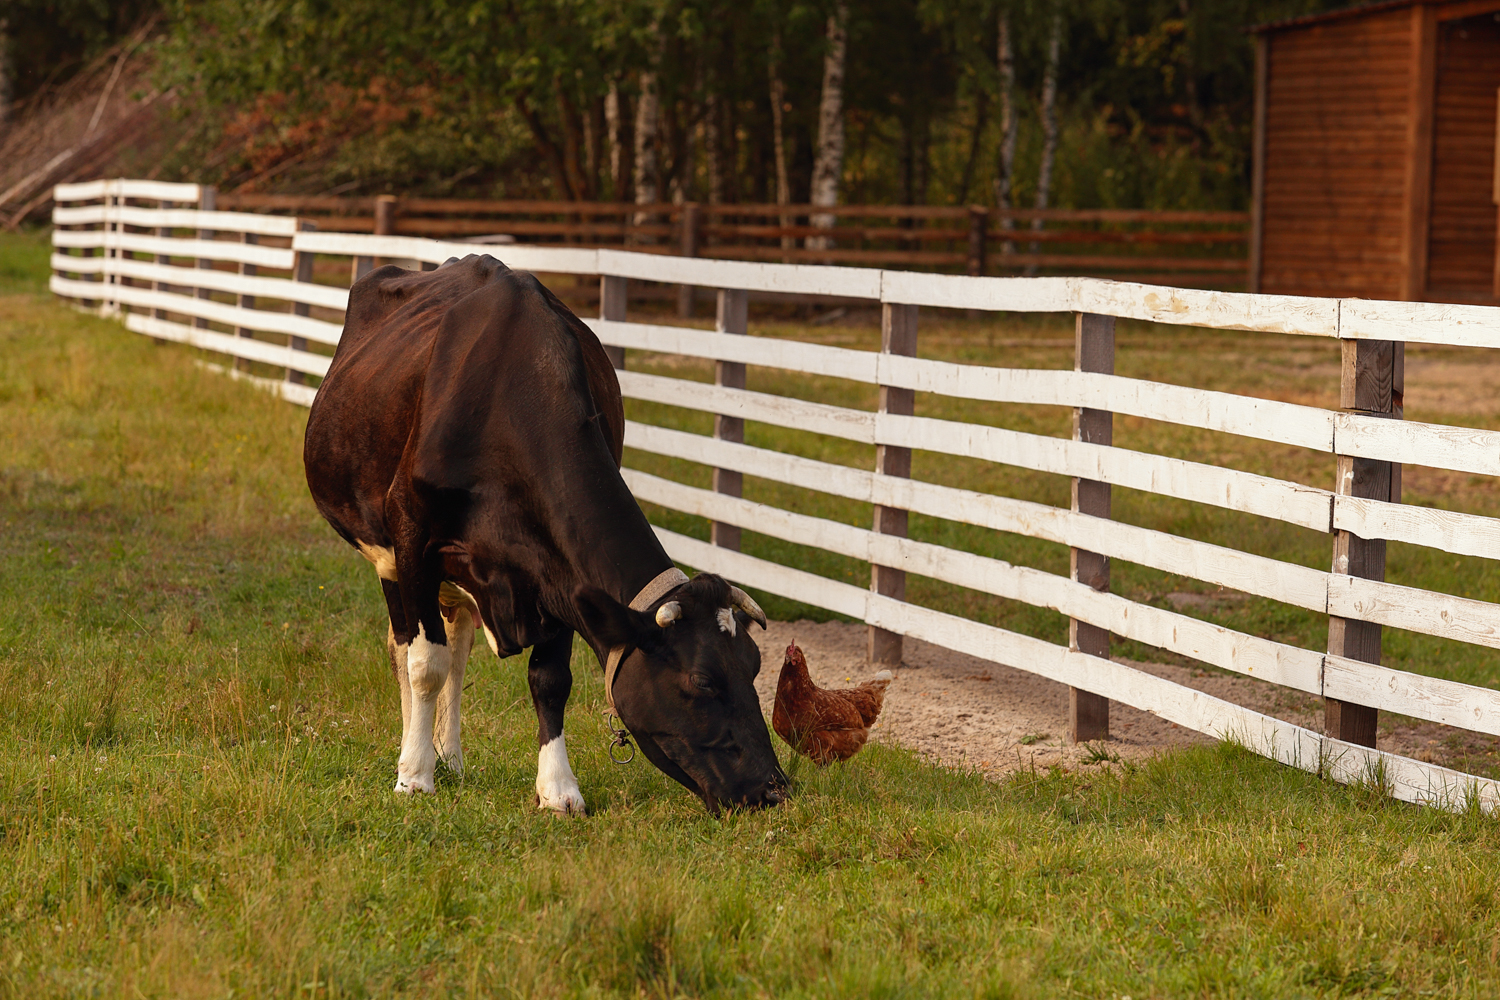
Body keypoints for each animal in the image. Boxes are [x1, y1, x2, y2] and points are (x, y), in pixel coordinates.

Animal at [309, 256, 792, 815]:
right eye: (702, 680)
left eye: (755, 665)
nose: (774, 788)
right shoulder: (412, 541)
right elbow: (425, 664)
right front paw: (413, 777)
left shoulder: (557, 573)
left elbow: (550, 679)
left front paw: (559, 788)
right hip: (388, 558)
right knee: (406, 648)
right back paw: (418, 751)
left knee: (458, 647)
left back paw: (449, 756)